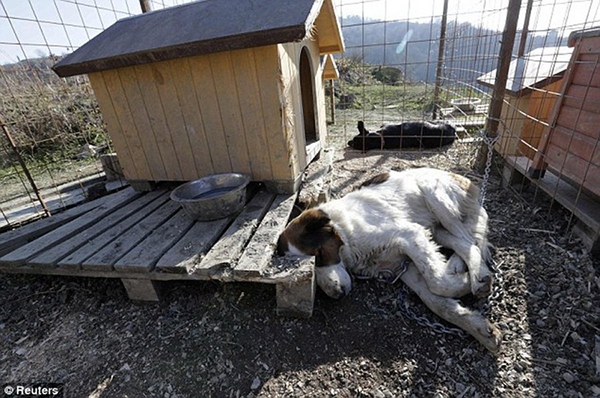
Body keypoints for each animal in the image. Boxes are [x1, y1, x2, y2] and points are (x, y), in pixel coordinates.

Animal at [278, 167, 504, 352]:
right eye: (311, 277)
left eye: (319, 255)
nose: (337, 295)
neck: (346, 234)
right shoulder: (403, 267)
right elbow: (436, 301)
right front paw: (480, 329)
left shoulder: (409, 234)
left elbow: (437, 282)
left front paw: (464, 283)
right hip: (436, 229)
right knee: (463, 242)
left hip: (435, 196)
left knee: (471, 240)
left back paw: (475, 275)